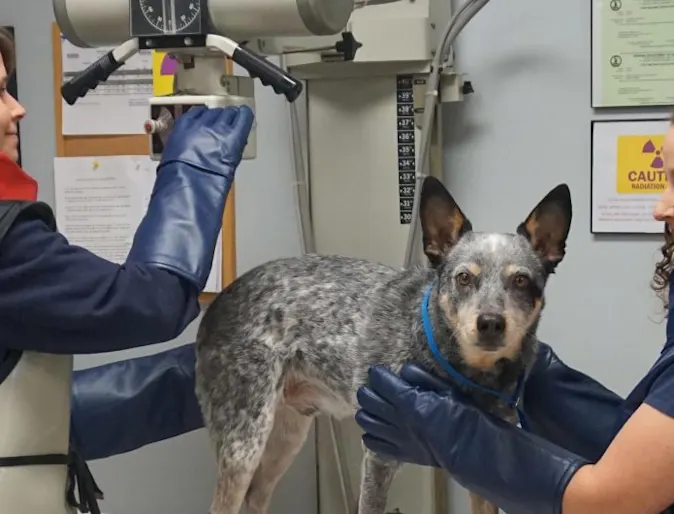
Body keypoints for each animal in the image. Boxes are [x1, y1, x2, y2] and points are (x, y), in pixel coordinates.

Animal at [193, 174, 568, 512]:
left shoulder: (483, 465)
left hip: (288, 433)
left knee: (256, 497)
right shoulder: (380, 453)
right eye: (463, 277)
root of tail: (219, 299)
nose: (490, 323)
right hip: (244, 443)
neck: (464, 375)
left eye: (520, 280)